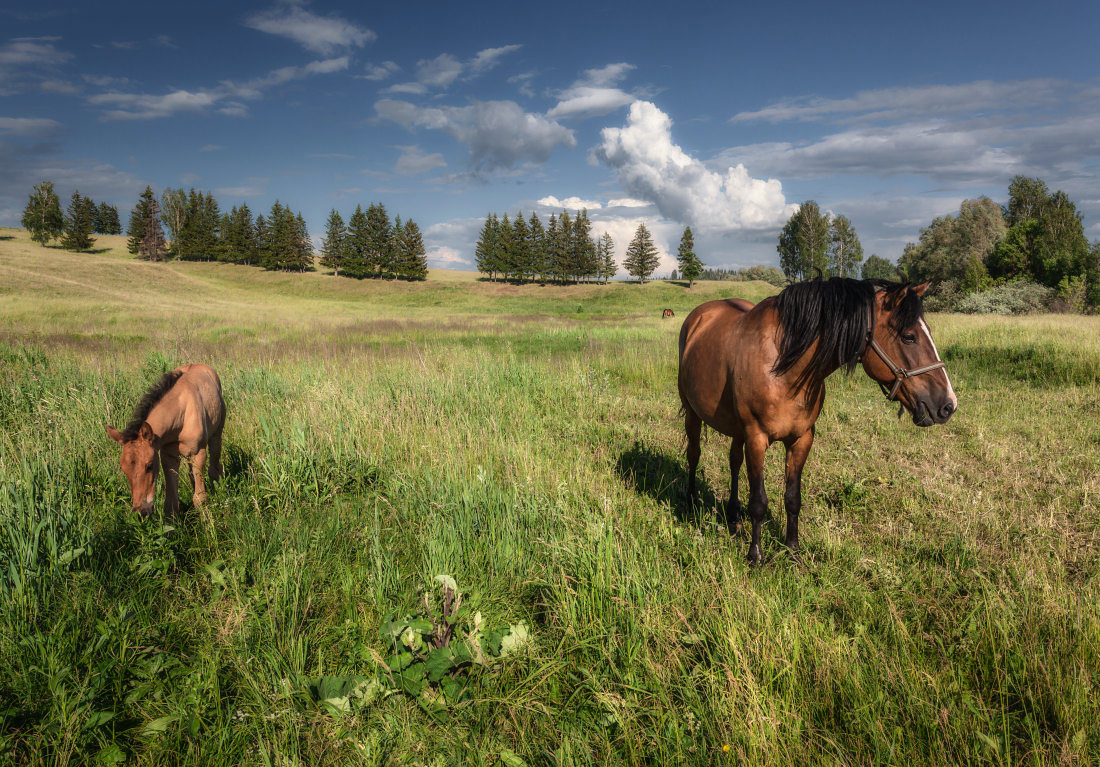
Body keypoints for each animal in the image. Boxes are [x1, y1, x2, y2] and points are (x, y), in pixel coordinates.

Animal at [105, 363, 225, 515]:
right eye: (123, 468)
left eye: (149, 466)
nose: (141, 511)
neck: (181, 415)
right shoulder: (168, 456)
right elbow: (171, 503)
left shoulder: (198, 453)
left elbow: (200, 498)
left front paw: (207, 519)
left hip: (216, 434)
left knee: (214, 465)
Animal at [673, 276, 959, 563]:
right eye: (908, 337)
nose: (947, 405)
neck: (782, 366)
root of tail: (699, 316)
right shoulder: (756, 439)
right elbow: (758, 502)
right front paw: (755, 555)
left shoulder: (802, 438)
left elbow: (792, 498)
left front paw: (793, 549)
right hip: (693, 414)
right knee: (694, 454)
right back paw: (690, 502)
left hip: (737, 429)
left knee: (734, 462)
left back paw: (733, 516)